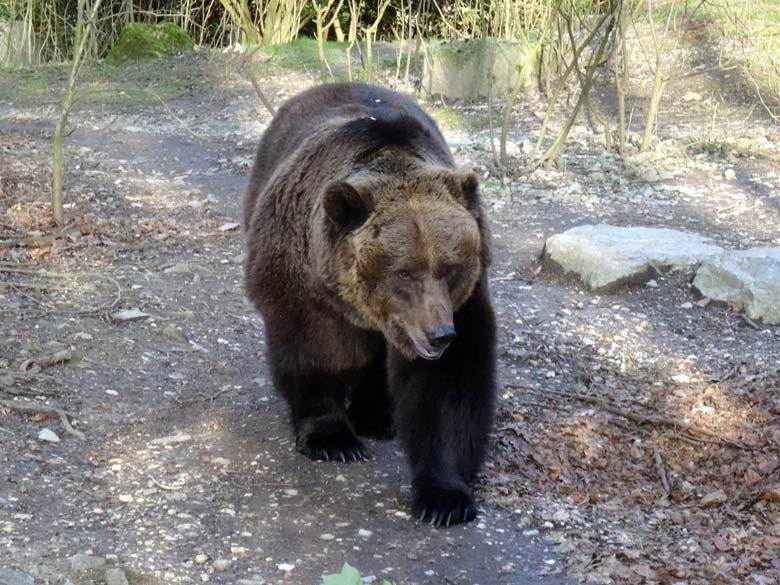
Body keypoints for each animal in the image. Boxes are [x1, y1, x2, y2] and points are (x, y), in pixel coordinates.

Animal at [244, 82, 496, 524]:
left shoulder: (464, 303)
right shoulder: (306, 284)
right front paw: (332, 439)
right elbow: (314, 350)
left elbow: (449, 384)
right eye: (404, 272)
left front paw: (445, 497)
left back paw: (377, 415)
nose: (439, 335)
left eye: (450, 268)